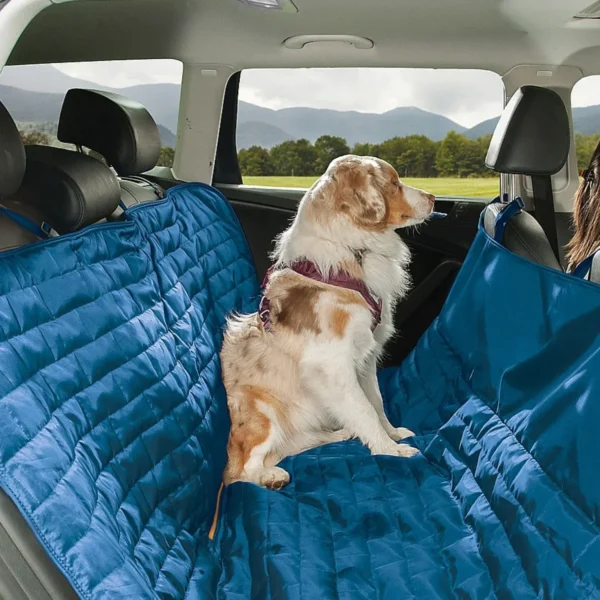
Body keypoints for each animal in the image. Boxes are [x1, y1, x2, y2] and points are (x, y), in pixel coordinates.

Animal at [221, 155, 435, 489]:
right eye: (394, 182)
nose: (434, 198)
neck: (352, 253)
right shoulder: (331, 365)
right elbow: (364, 409)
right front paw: (390, 450)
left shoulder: (366, 358)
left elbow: (375, 401)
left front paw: (391, 433)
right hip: (261, 411)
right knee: (243, 471)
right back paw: (271, 476)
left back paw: (338, 433)